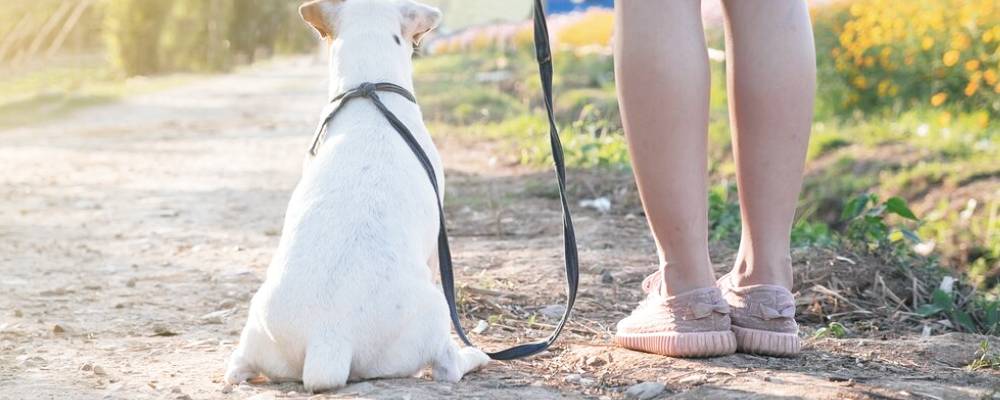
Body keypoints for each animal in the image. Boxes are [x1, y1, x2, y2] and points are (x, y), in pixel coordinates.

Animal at [227, 0, 492, 392]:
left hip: (257, 329)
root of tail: (329, 336)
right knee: (446, 365)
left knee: (237, 366)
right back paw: (473, 356)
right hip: (435, 313)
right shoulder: (434, 248)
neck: (370, 91)